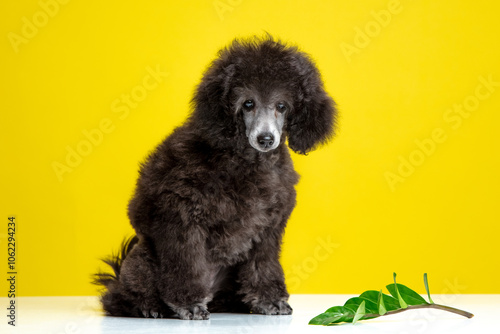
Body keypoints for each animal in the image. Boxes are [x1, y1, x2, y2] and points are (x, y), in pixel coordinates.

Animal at [94, 35, 336, 320]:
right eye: (248, 104)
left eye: (282, 106)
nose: (266, 139)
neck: (247, 161)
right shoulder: (180, 218)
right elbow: (186, 265)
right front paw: (187, 304)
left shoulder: (268, 228)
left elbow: (264, 266)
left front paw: (269, 301)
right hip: (144, 258)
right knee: (119, 298)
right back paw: (150, 307)